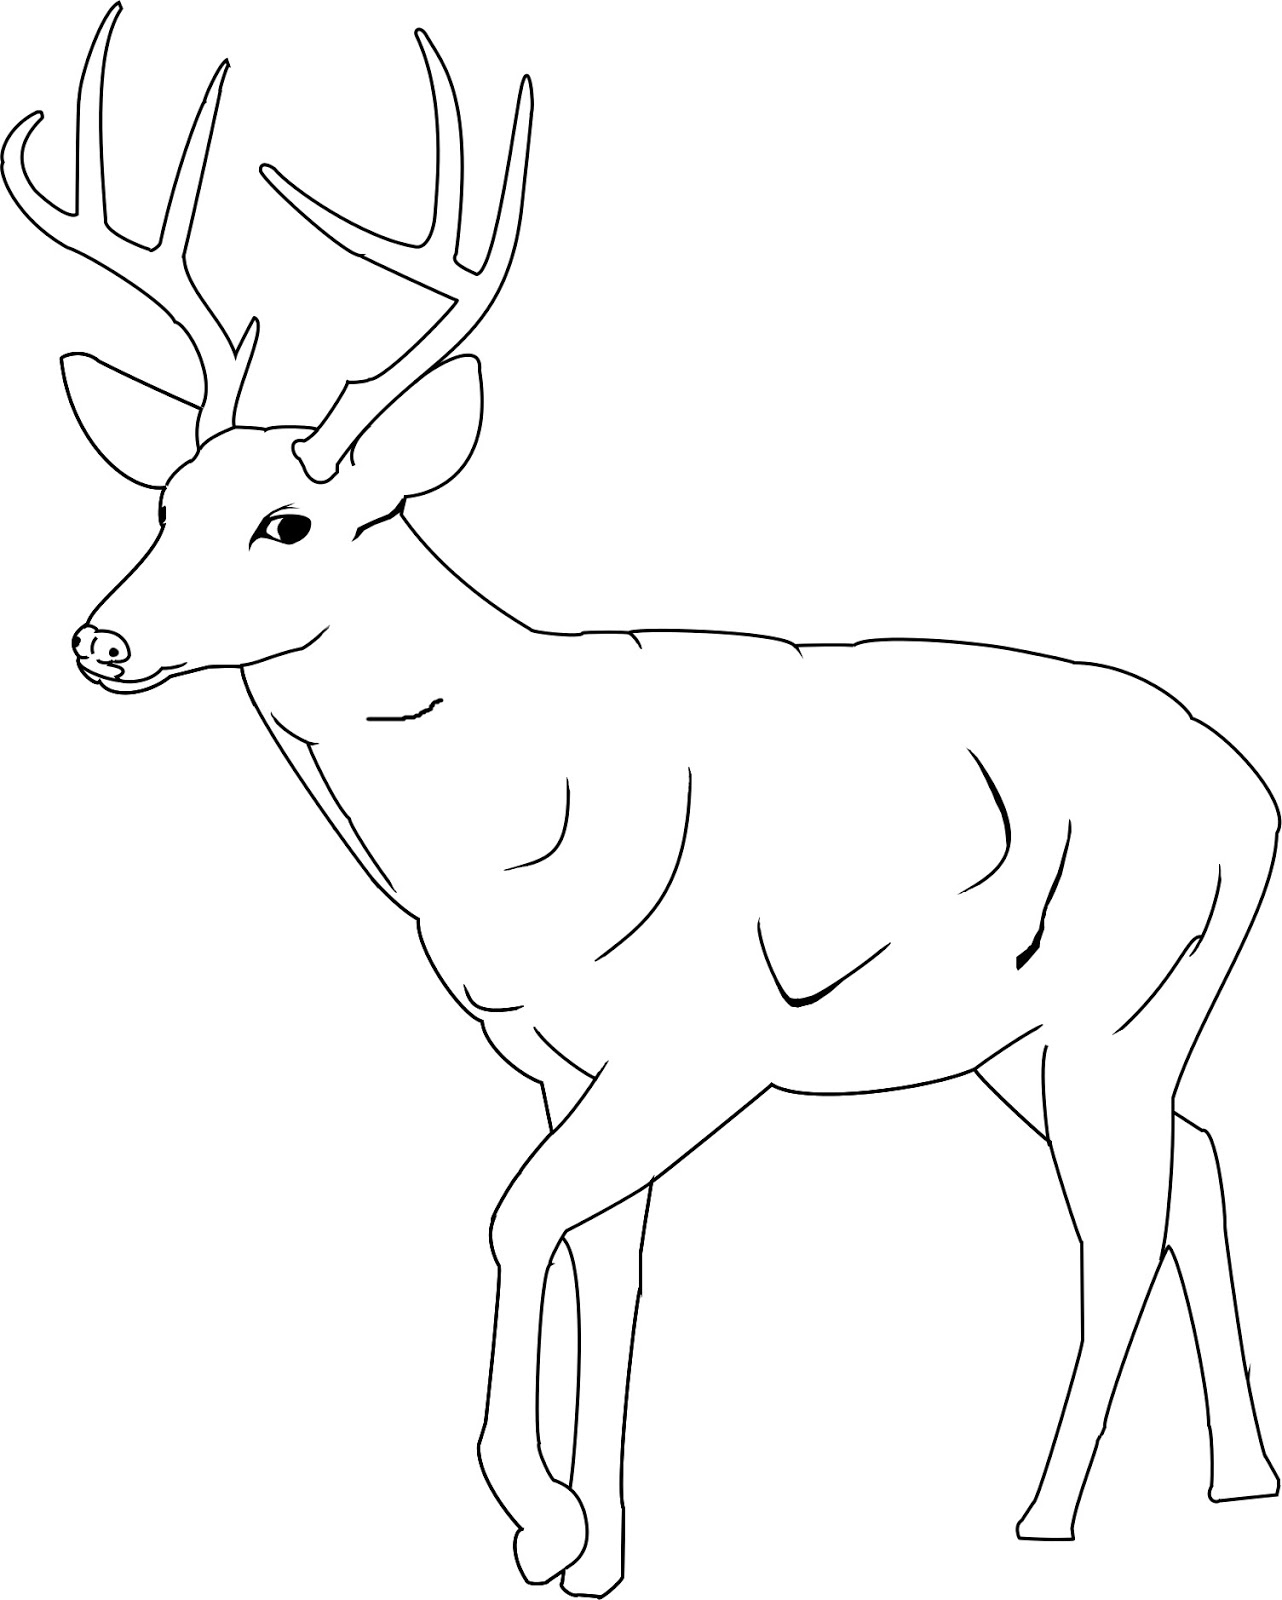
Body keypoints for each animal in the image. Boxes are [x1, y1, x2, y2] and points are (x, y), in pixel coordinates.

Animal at [4, 6, 1279, 1593]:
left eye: (285, 521)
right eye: (162, 500)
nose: (100, 642)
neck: (513, 817)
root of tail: (1249, 791)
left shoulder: (699, 1045)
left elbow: (516, 1219)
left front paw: (540, 1514)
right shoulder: (565, 1061)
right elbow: (608, 1263)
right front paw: (596, 1548)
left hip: (1117, 1004)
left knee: (1119, 1220)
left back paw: (1041, 1511)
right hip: (1030, 1037)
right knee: (1199, 1165)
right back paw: (1236, 1478)